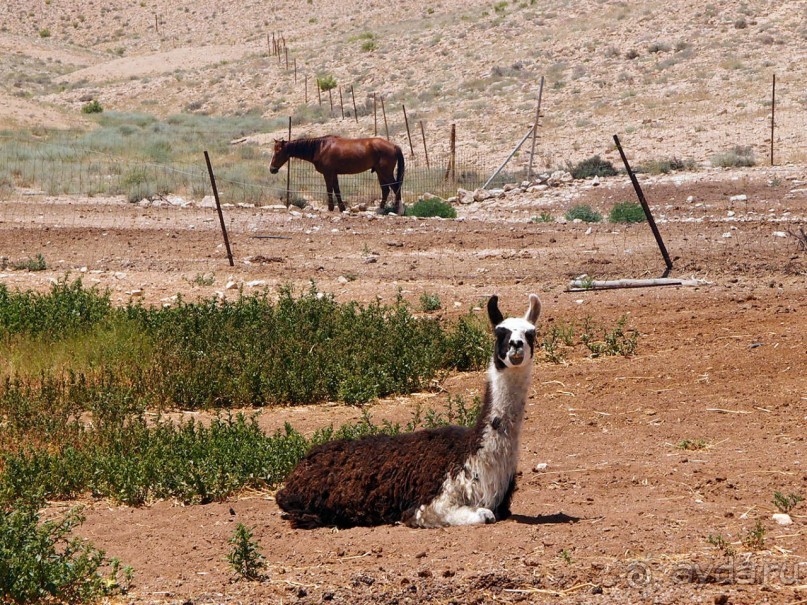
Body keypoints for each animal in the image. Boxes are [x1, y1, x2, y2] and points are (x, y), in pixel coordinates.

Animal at [272, 136, 408, 215]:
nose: (272, 169)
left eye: (278, 152)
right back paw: (380, 210)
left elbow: (329, 190)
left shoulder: (328, 173)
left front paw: (331, 208)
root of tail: (394, 146)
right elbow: (336, 190)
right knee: (385, 190)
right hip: (380, 173)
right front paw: (342, 208)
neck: (321, 147)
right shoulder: (334, 174)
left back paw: (398, 210)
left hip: (386, 172)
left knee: (395, 188)